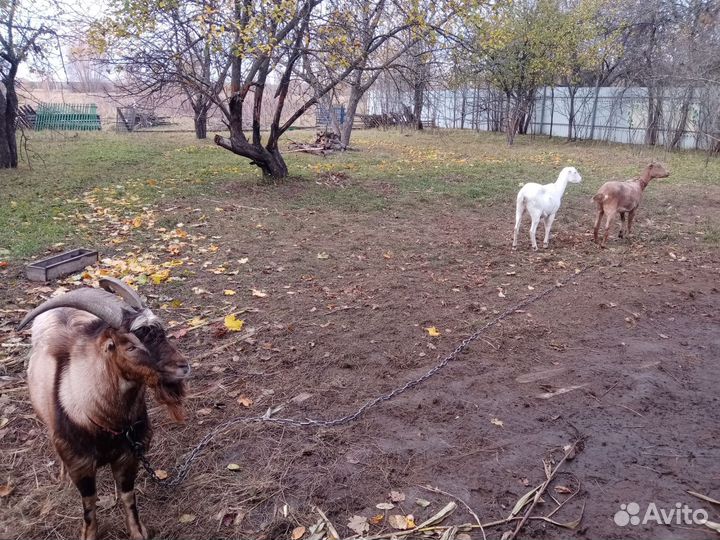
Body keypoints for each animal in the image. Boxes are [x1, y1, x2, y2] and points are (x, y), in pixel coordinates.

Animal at [17, 277, 190, 540]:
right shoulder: (80, 465)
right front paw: (88, 535)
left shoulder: (129, 456)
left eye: (162, 333)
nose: (183, 367)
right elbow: (89, 504)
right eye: (130, 346)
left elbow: (128, 497)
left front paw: (137, 532)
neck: (107, 420)